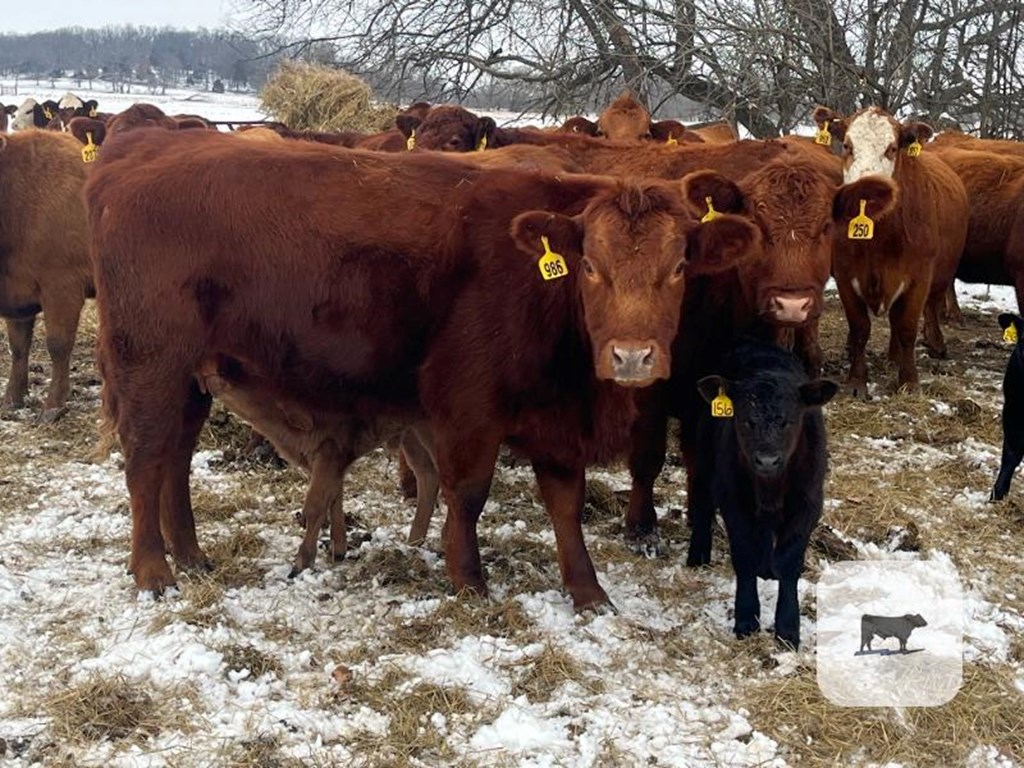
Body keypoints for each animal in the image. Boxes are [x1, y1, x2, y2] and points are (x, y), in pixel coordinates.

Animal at [0, 133, 93, 421]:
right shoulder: (17, 292)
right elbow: (18, 347)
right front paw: (12, 399)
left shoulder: (62, 288)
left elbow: (58, 345)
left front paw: (54, 405)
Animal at [88, 129, 761, 610]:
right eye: (591, 266)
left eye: (680, 267)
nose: (632, 356)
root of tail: (141, 150)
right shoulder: (469, 405)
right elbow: (467, 493)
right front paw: (468, 579)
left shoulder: (557, 419)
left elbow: (565, 505)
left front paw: (588, 591)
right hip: (149, 363)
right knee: (145, 458)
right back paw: (153, 570)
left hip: (191, 376)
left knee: (175, 457)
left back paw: (190, 554)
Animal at [815, 107, 966, 397]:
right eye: (847, 145)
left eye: (892, 148)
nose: (865, 191)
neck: (879, 238)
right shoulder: (845, 276)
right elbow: (860, 328)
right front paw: (857, 381)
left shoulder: (919, 278)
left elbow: (906, 327)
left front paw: (909, 382)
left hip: (941, 278)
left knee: (924, 311)